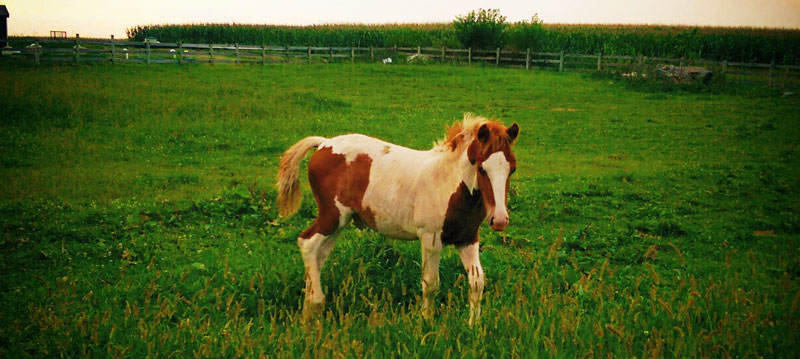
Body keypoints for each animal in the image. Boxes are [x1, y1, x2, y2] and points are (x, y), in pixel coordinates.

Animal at [278, 114, 520, 326]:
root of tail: (324, 143)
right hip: (333, 215)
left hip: (339, 222)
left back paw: (308, 310)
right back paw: (316, 303)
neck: (449, 181)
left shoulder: (467, 239)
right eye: (482, 168)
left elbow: (477, 282)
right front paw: (425, 322)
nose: (499, 220)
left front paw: (474, 326)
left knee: (319, 254)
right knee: (308, 243)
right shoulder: (431, 239)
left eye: (512, 168)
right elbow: (430, 283)